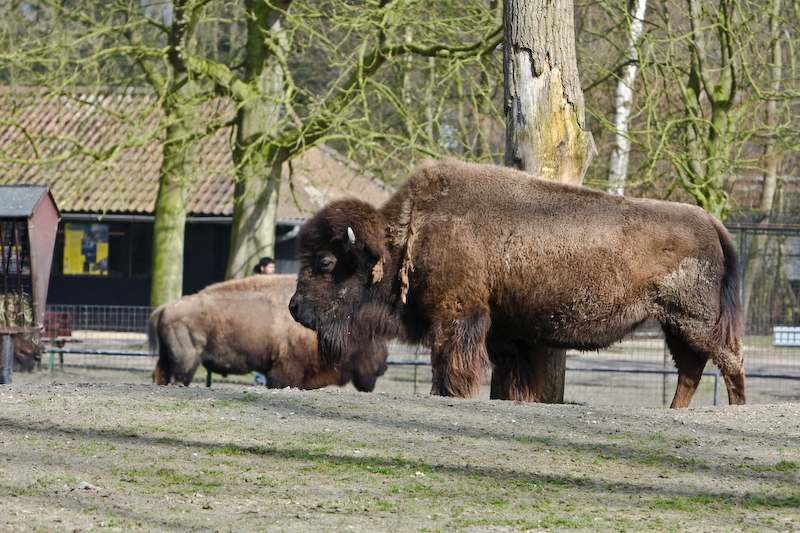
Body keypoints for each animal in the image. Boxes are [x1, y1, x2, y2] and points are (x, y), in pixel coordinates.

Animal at [150, 274, 388, 391]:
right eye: (373, 339)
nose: (384, 365)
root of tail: (166, 307)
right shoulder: (284, 371)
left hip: (167, 358)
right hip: (186, 362)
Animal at [289, 159, 746, 408]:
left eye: (327, 262)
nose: (294, 307)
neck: (408, 234)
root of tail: (710, 221)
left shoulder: (457, 317)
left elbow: (449, 363)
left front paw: (447, 393)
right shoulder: (508, 336)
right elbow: (514, 379)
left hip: (695, 321)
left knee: (729, 362)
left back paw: (733, 409)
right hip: (674, 325)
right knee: (691, 370)